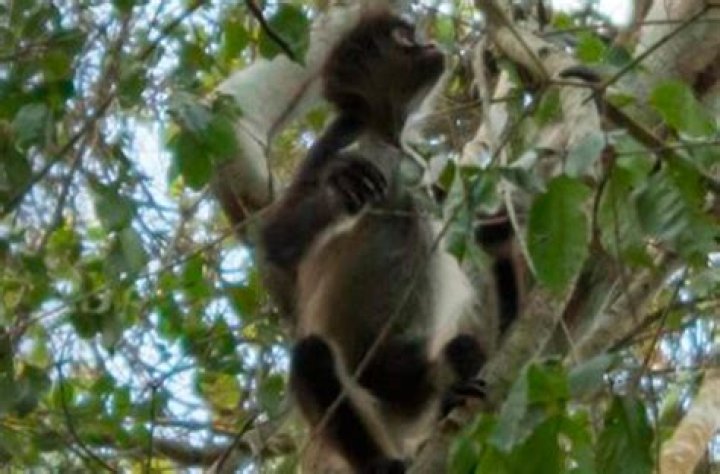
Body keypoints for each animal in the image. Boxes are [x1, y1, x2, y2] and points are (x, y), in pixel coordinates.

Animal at [259, 11, 490, 473]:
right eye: (404, 37)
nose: (428, 44)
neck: (391, 138)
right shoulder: (345, 133)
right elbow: (277, 240)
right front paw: (341, 186)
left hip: (414, 391)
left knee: (462, 351)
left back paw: (451, 395)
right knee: (312, 357)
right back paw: (382, 464)